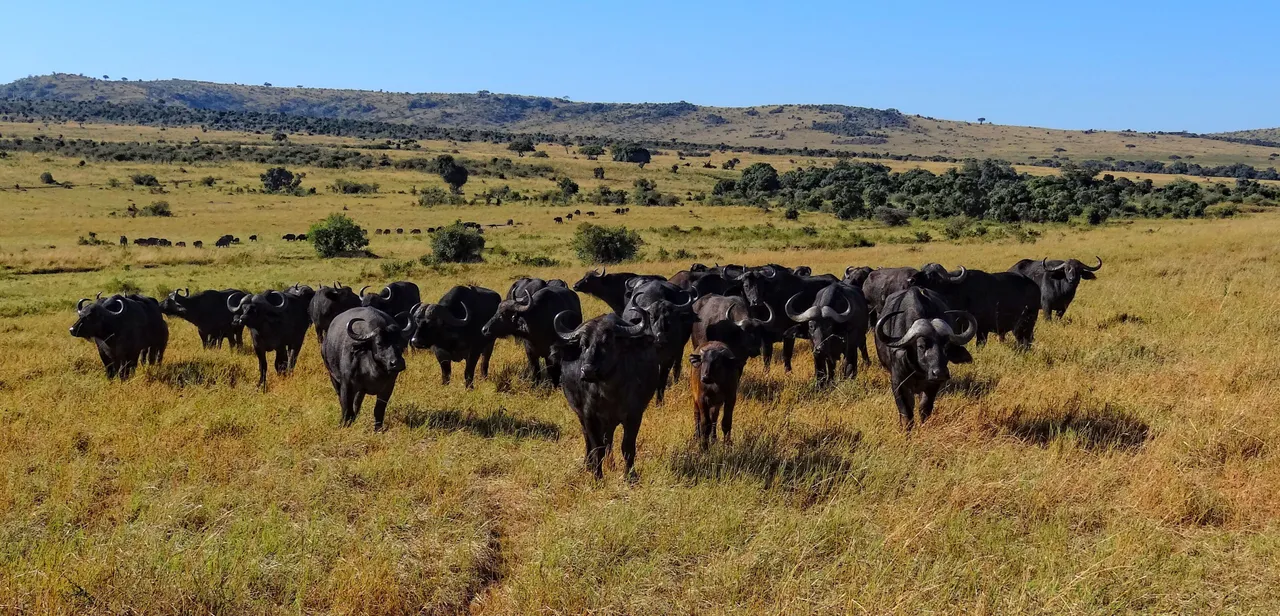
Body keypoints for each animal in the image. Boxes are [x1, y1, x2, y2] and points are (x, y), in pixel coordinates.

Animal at [555, 307, 660, 478]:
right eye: (583, 344)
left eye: (607, 342)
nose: (588, 370)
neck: (610, 393)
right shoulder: (589, 416)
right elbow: (597, 448)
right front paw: (597, 476)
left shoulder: (634, 416)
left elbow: (627, 448)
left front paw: (630, 476)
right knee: (589, 440)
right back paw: (588, 464)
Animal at [874, 288, 977, 430]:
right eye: (921, 346)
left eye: (946, 347)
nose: (940, 373)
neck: (918, 371)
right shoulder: (898, 383)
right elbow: (906, 413)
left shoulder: (933, 385)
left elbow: (924, 409)